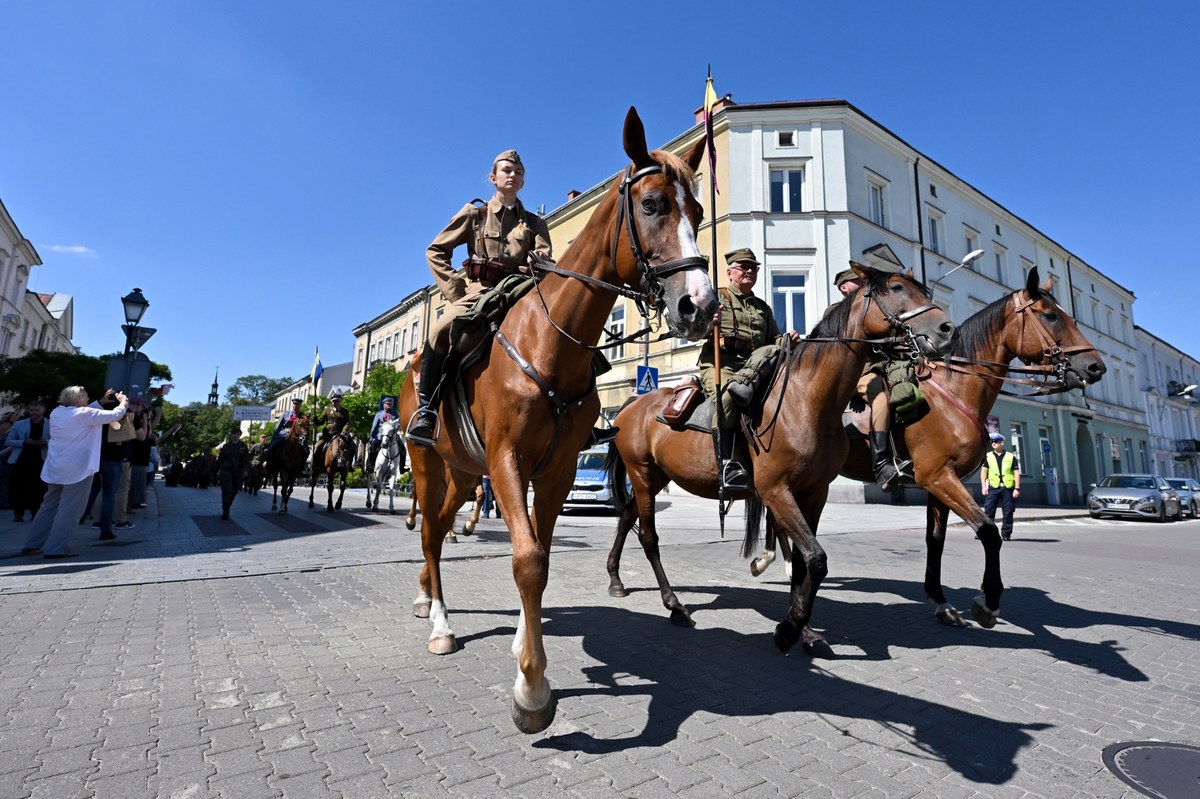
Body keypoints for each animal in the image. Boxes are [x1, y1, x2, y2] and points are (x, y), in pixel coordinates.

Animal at [403, 107, 715, 734]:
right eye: (652, 205)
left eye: (697, 212)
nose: (700, 305)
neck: (550, 342)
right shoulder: (507, 460)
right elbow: (526, 559)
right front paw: (532, 688)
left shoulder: (557, 469)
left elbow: (541, 556)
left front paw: (527, 648)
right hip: (430, 462)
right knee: (427, 532)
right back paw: (441, 621)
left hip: (463, 472)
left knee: (439, 530)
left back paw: (430, 597)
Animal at [609, 263, 955, 652]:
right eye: (896, 288)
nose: (947, 330)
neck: (807, 399)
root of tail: (633, 404)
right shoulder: (776, 491)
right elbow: (816, 559)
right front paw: (789, 628)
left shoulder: (814, 493)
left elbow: (804, 562)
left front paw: (805, 631)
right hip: (641, 474)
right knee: (648, 536)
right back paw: (674, 605)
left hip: (656, 477)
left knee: (626, 517)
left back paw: (616, 580)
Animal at [825, 267, 1104, 628]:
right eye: (1051, 316)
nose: (1096, 366)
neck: (953, 392)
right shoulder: (938, 477)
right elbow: (988, 531)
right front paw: (988, 602)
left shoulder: (941, 482)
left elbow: (935, 540)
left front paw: (940, 601)